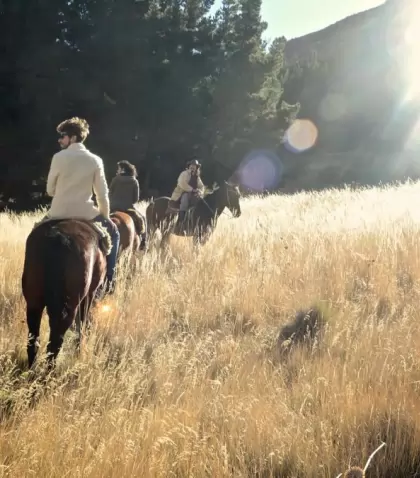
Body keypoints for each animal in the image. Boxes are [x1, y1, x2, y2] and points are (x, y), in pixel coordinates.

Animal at [22, 218, 110, 368]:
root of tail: (56, 238)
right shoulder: (89, 294)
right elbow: (82, 323)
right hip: (69, 305)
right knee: (55, 343)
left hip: (33, 301)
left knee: (34, 341)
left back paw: (31, 369)